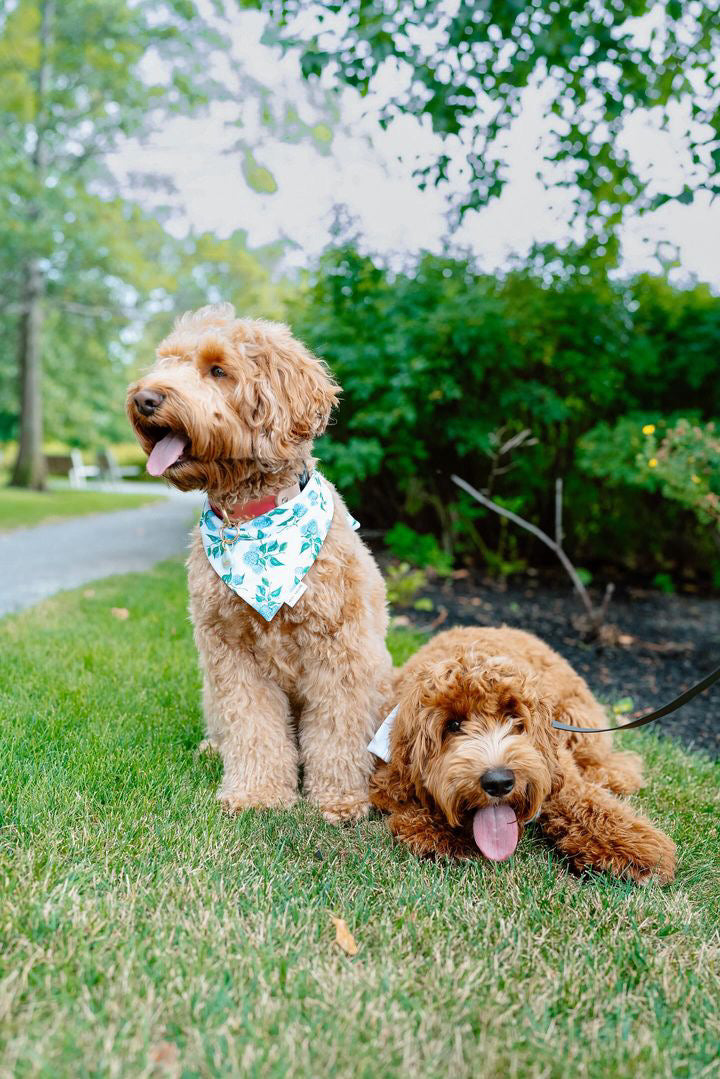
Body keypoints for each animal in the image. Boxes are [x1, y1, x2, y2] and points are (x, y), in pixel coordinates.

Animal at [126, 299, 390, 820]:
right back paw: (213, 747)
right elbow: (252, 726)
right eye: (166, 362)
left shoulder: (341, 652)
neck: (253, 523)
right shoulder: (229, 654)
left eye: (218, 370)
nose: (145, 398)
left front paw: (340, 799)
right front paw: (258, 794)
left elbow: (338, 731)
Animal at [369, 625, 677, 884]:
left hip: (576, 719)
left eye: (513, 718)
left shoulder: (557, 765)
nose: (498, 782)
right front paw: (443, 830)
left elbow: (587, 802)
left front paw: (634, 849)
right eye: (453, 725)